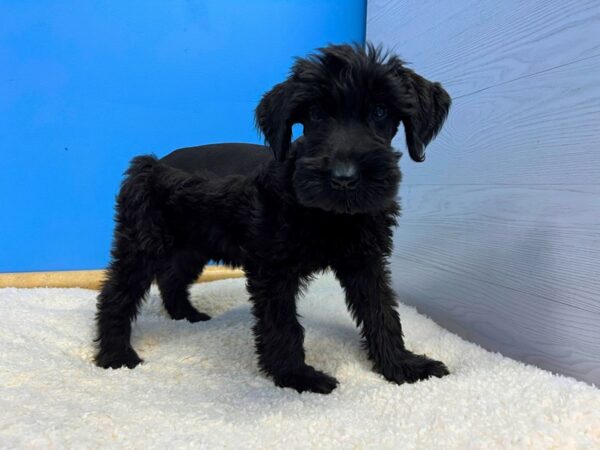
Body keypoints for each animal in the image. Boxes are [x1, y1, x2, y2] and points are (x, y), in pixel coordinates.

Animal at [94, 43, 450, 394]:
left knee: (171, 277)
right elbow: (283, 325)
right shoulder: (273, 270)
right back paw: (116, 355)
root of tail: (153, 163)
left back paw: (185, 315)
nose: (344, 178)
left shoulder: (366, 262)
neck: (330, 214)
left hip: (193, 246)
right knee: (116, 294)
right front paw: (297, 376)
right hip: (142, 243)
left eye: (379, 111)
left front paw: (403, 366)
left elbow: (382, 312)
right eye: (315, 114)